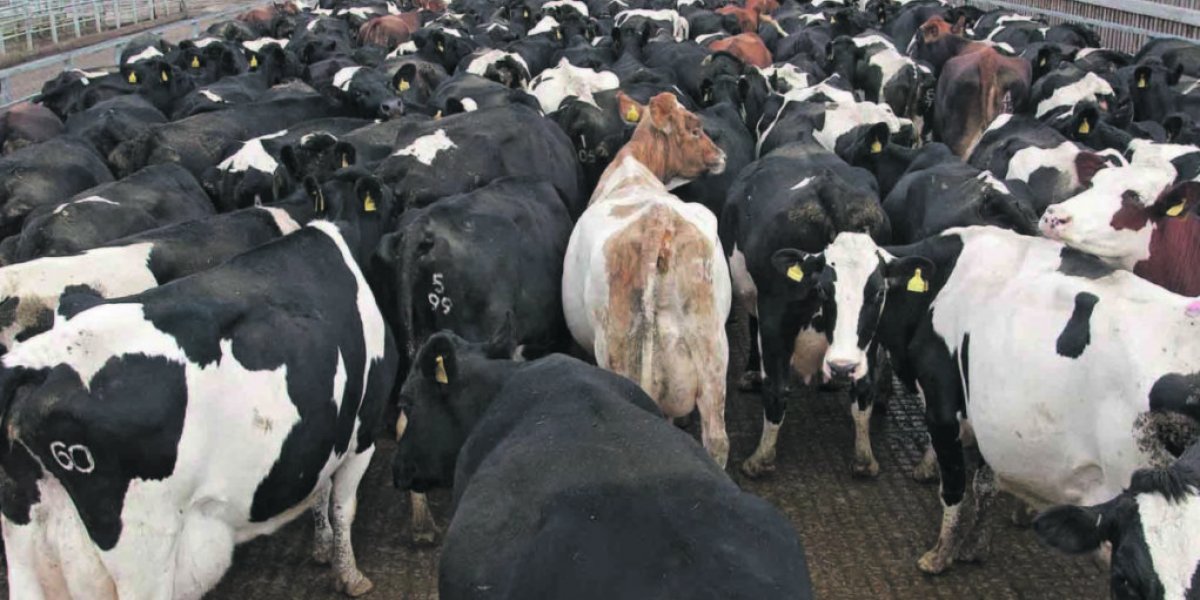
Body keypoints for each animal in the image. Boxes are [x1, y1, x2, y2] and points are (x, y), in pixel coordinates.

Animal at [0, 221, 398, 599]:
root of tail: (39, 367)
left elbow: (321, 493)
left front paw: (322, 547)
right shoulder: (364, 432)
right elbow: (343, 506)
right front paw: (349, 576)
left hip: (26, 544)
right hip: (145, 551)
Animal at [563, 92, 731, 467]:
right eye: (695, 128)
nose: (721, 155)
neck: (634, 165)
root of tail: (659, 221)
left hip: (618, 354)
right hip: (711, 349)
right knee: (717, 440)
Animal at [770, 226, 1200, 575]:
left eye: (877, 292)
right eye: (823, 291)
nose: (843, 367)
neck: (941, 286)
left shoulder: (943, 407)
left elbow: (955, 489)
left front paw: (940, 555)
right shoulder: (987, 417)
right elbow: (986, 485)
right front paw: (975, 546)